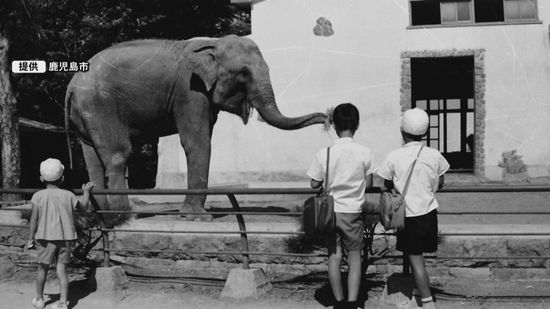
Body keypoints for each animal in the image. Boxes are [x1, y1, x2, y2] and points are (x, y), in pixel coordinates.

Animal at [67, 35, 330, 223]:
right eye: (244, 73)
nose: (326, 117)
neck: (212, 44)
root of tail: (72, 83)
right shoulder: (189, 91)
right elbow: (198, 141)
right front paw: (199, 218)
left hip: (87, 112)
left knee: (92, 158)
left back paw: (102, 217)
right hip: (99, 106)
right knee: (117, 155)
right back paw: (125, 217)